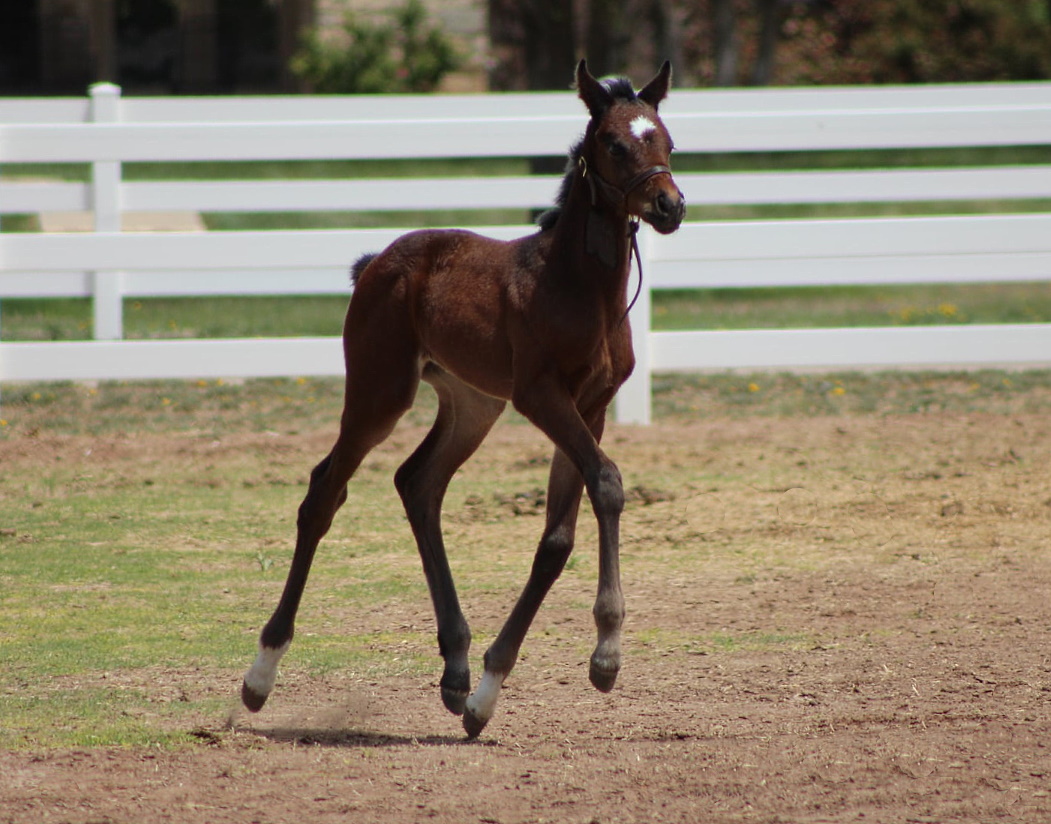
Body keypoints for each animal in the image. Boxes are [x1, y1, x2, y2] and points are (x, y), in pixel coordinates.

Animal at [241, 60, 685, 738]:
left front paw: (485, 693)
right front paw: (605, 655)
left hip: (473, 404)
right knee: (324, 494)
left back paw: (454, 668)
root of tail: (376, 261)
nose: (669, 204)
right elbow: (607, 483)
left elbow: (557, 537)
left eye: (666, 140)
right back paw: (261, 674)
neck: (578, 288)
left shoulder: (591, 406)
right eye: (613, 143)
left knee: (417, 483)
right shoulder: (540, 396)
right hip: (379, 391)